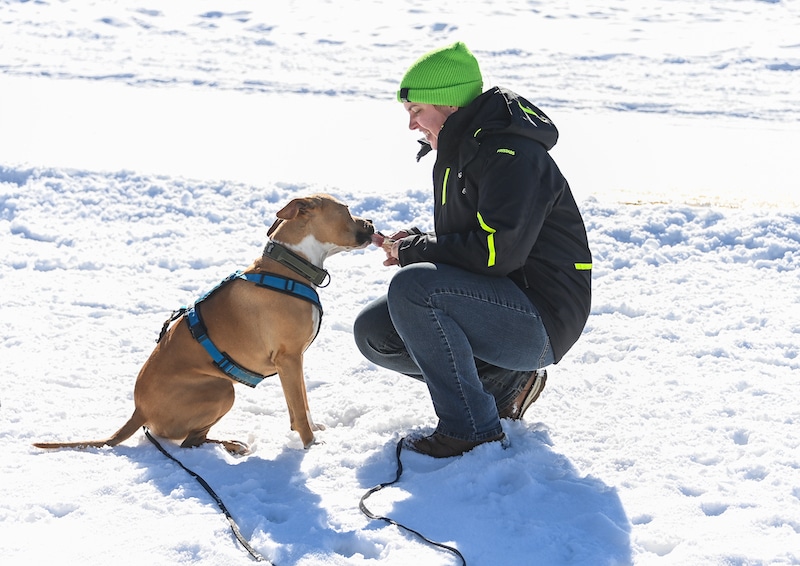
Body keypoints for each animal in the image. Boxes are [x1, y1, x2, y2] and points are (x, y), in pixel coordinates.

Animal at [34, 193, 376, 454]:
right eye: (348, 210)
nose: (372, 223)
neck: (289, 266)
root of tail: (139, 411)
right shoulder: (290, 358)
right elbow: (300, 407)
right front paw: (311, 445)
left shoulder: (291, 364)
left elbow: (300, 406)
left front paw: (309, 430)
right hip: (221, 389)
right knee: (189, 442)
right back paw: (229, 446)